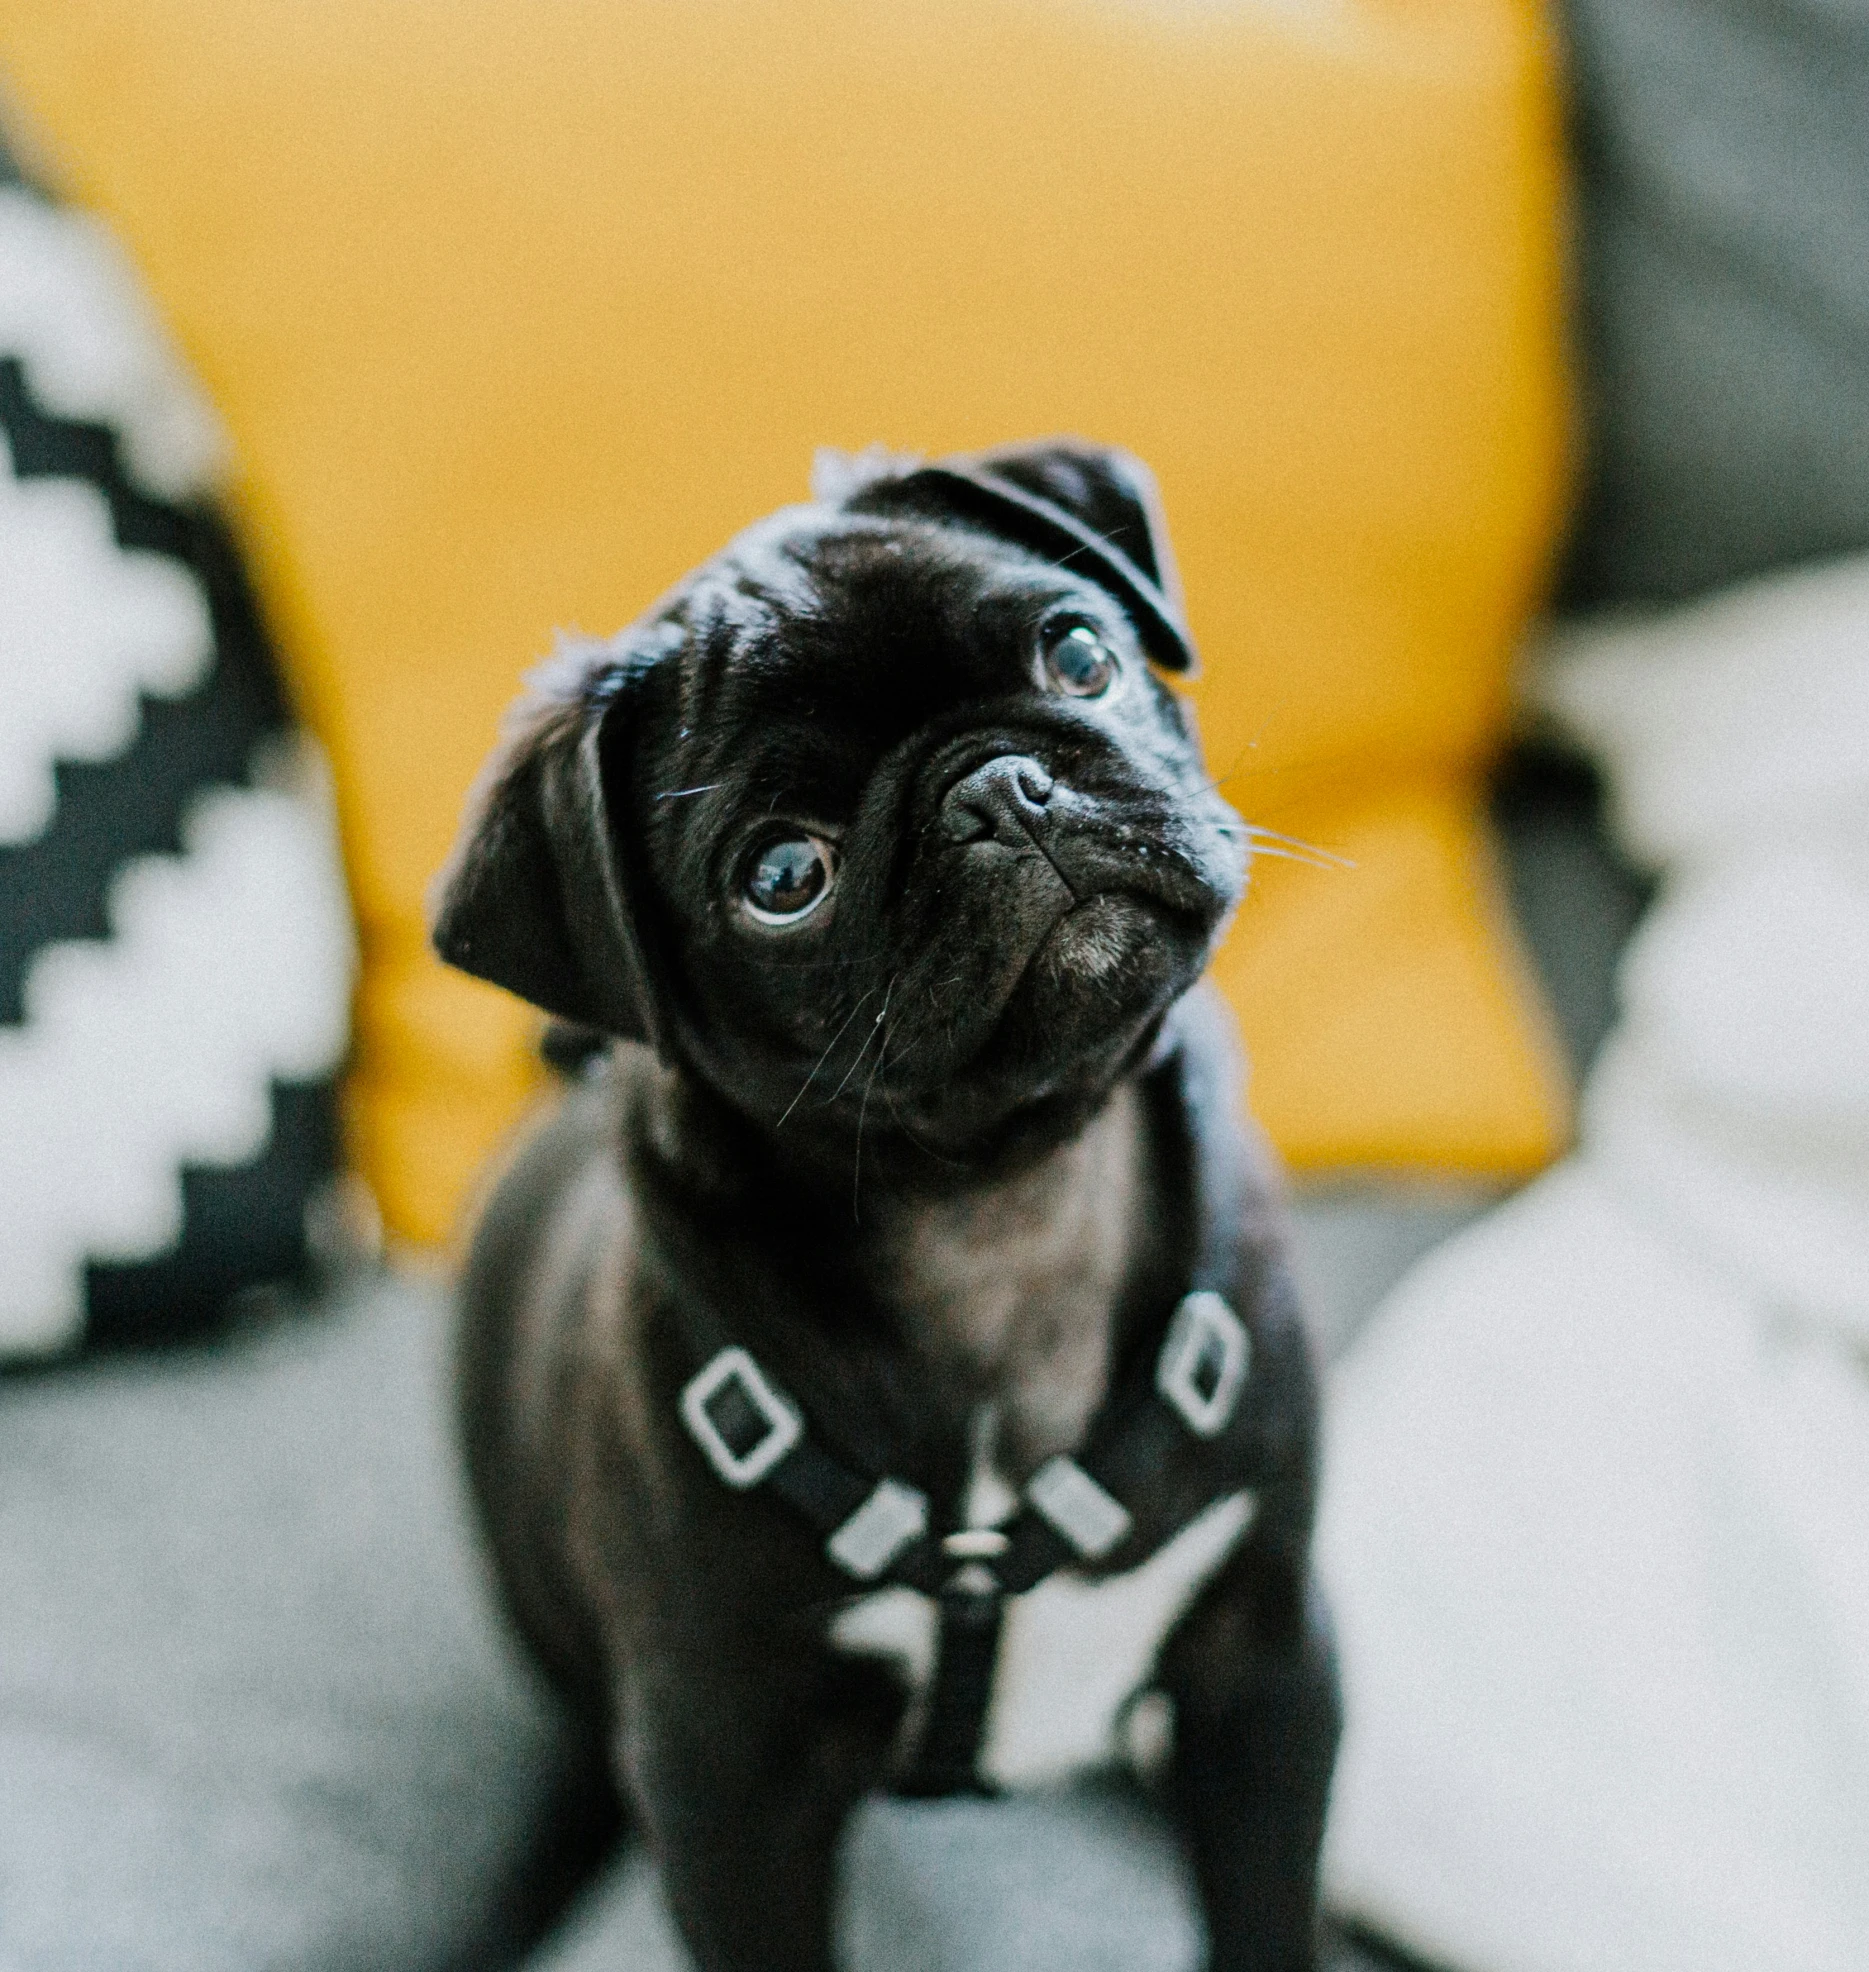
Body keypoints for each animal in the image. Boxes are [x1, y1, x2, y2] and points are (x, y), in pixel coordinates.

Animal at [433, 439, 1340, 1964]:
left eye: (1081, 652)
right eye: (783, 877)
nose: (1001, 792)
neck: (1002, 1214)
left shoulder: (1267, 1667)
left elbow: (1265, 1915)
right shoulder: (728, 1787)